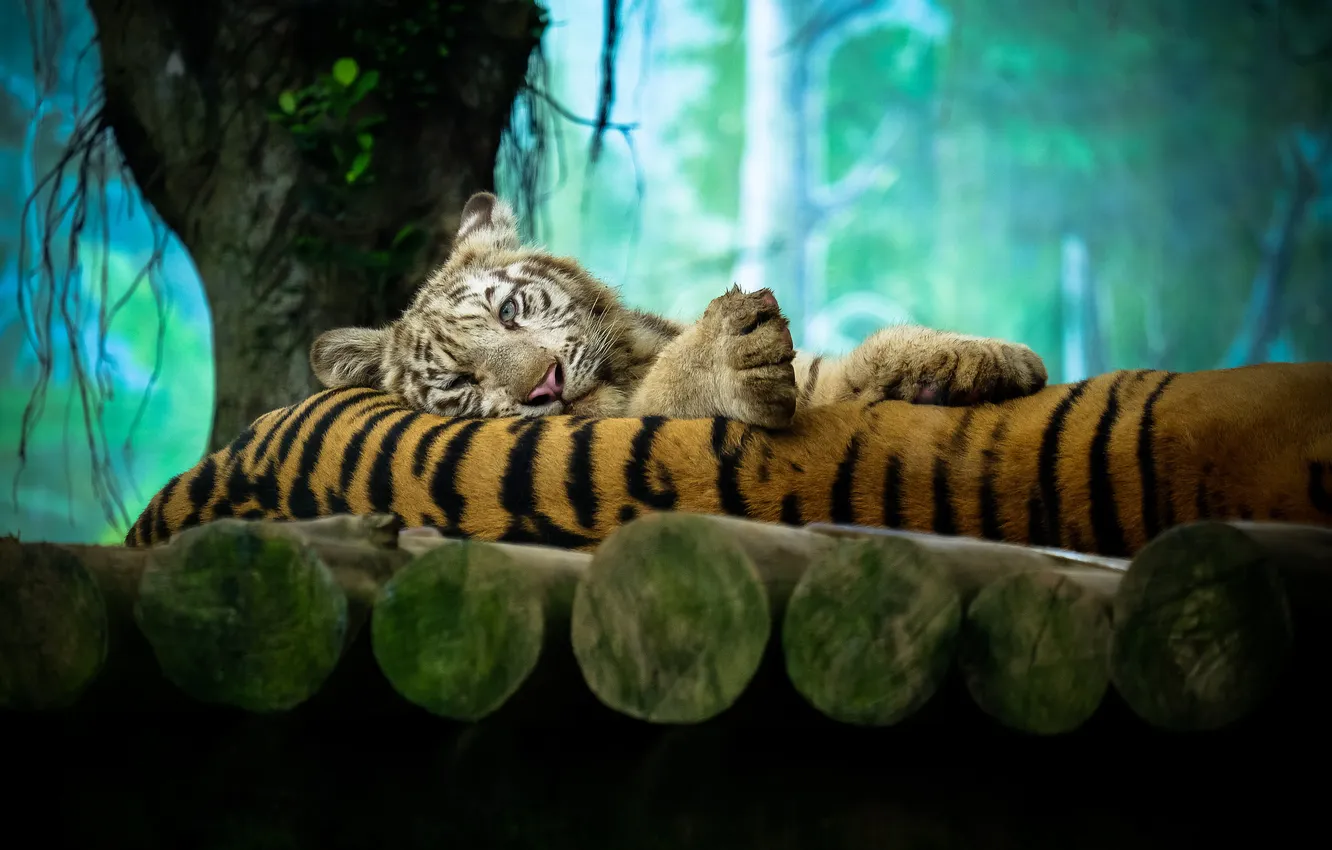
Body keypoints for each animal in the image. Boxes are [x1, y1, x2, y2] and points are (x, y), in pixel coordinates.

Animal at [307, 192, 1049, 429]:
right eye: (460, 383)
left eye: (511, 311)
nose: (546, 385)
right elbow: (676, 386)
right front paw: (723, 360)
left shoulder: (820, 378)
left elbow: (854, 357)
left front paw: (984, 358)